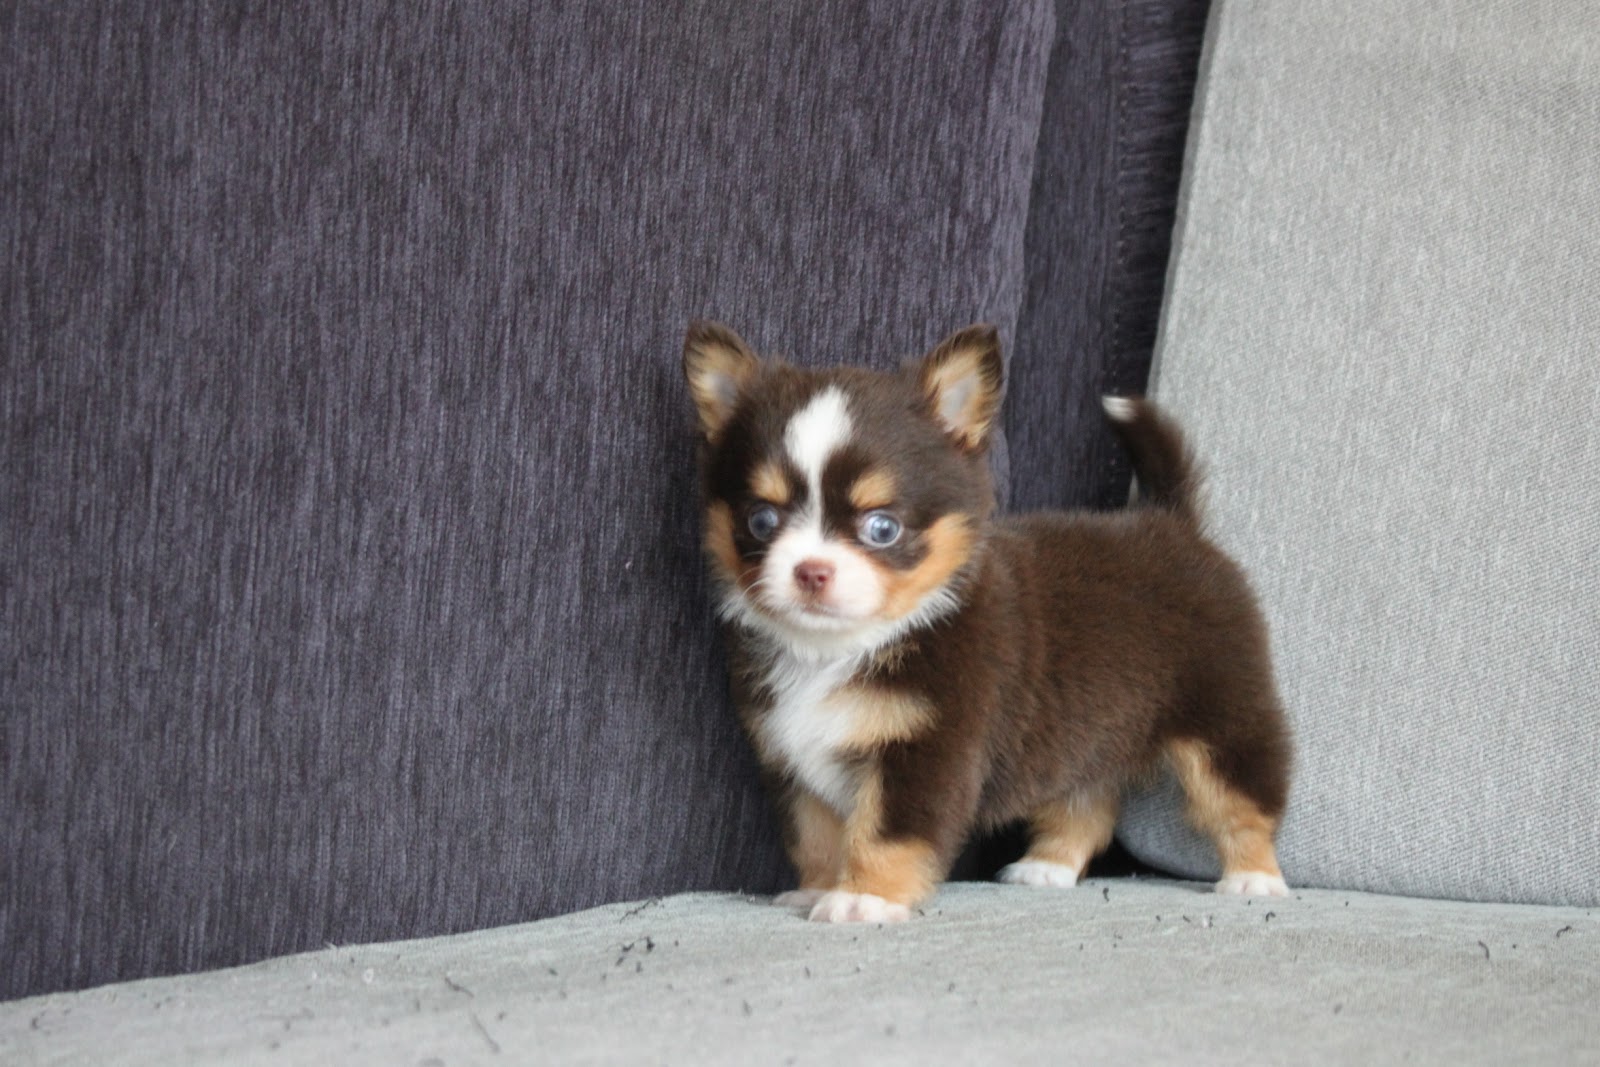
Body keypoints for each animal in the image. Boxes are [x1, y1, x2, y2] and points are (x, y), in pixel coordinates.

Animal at [683, 321, 1291, 923]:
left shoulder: (924, 754)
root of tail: (1170, 520)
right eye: (761, 521)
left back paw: (1255, 879)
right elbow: (817, 836)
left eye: (882, 528)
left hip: (1225, 723)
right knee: (1087, 804)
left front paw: (865, 898)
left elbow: (883, 833)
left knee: (1243, 803)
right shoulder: (795, 761)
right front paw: (818, 888)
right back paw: (1047, 867)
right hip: (1091, 735)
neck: (846, 648)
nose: (811, 570)